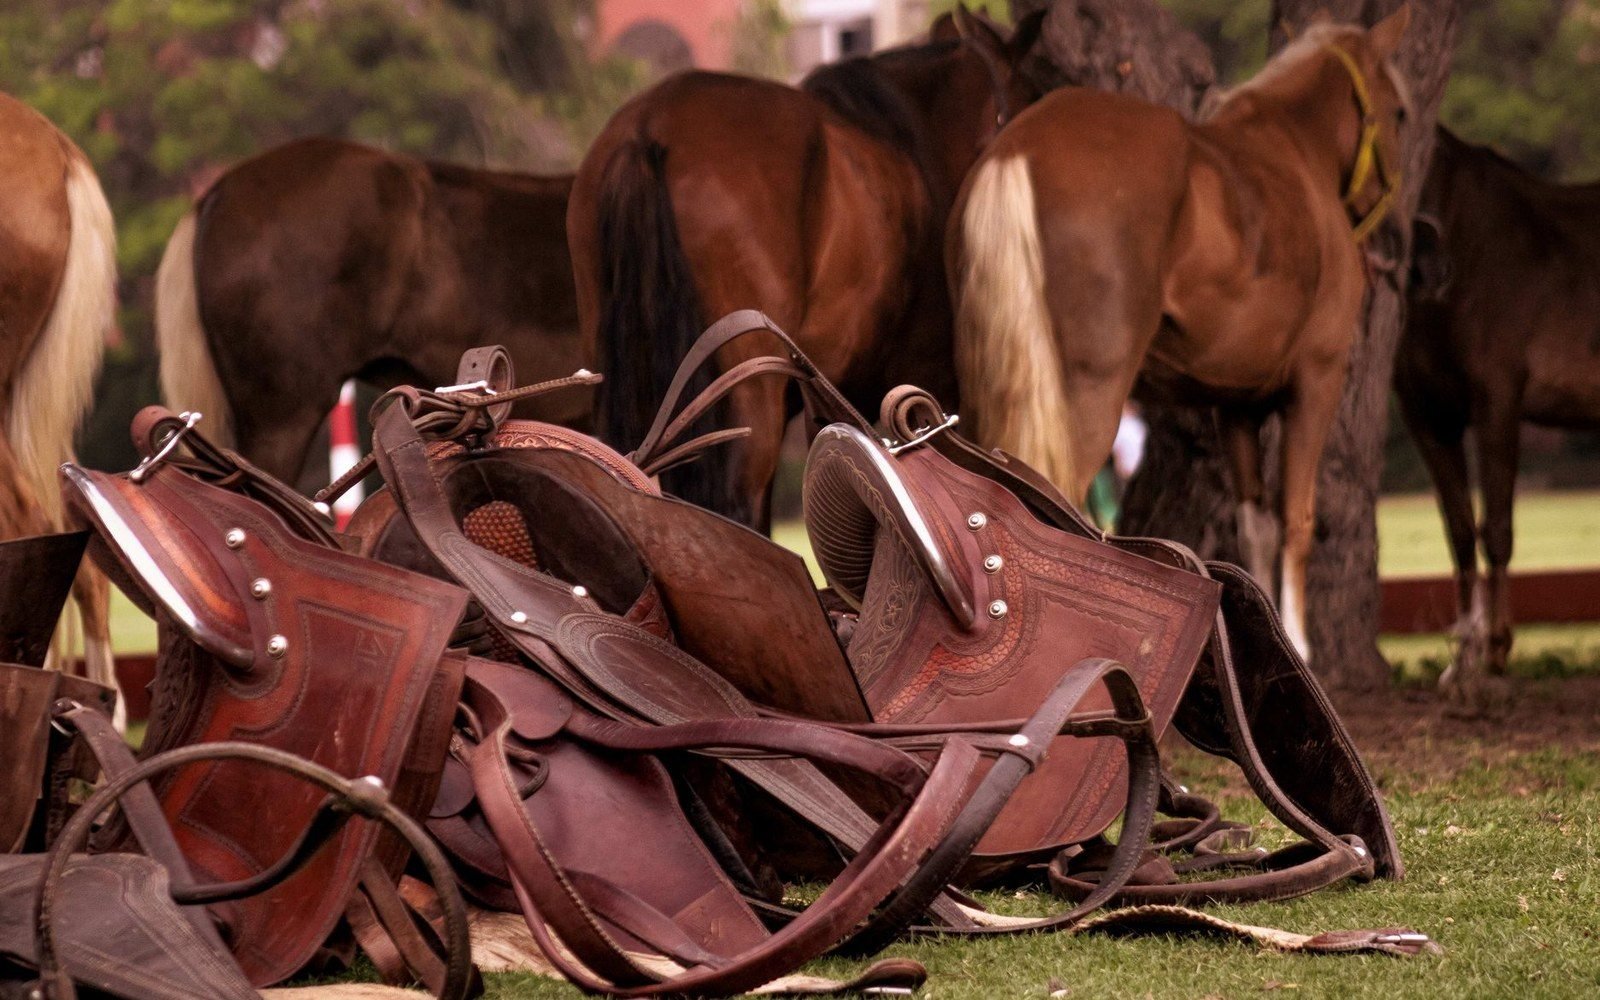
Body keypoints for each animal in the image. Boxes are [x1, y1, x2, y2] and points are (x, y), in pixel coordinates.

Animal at [947, 8, 1411, 663]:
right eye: (1398, 112)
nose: (1398, 241)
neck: (1295, 154)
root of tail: (1015, 150)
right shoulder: (1317, 380)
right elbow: (1297, 518)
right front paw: (1300, 645)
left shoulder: (1235, 403)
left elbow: (1256, 524)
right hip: (1086, 397)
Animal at [1398, 127, 1600, 690]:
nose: (1428, 268)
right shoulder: (1429, 420)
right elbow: (1460, 533)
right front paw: (1460, 661)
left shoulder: (1498, 406)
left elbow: (1497, 531)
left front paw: (1496, 652)